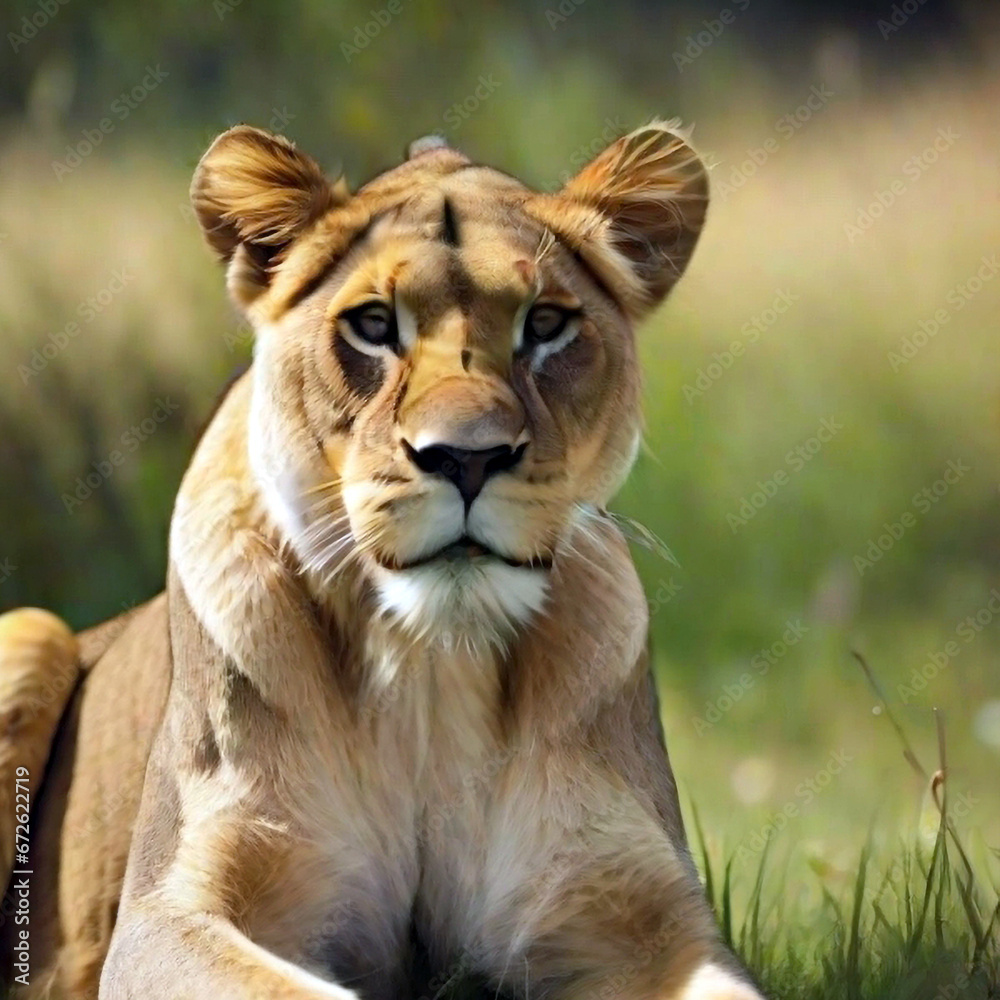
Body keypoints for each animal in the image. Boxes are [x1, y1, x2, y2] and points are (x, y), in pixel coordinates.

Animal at [0, 123, 765, 1000]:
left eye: (546, 324)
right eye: (372, 324)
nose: (467, 458)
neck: (430, 661)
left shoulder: (647, 918)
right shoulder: (163, 917)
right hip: (30, 631)